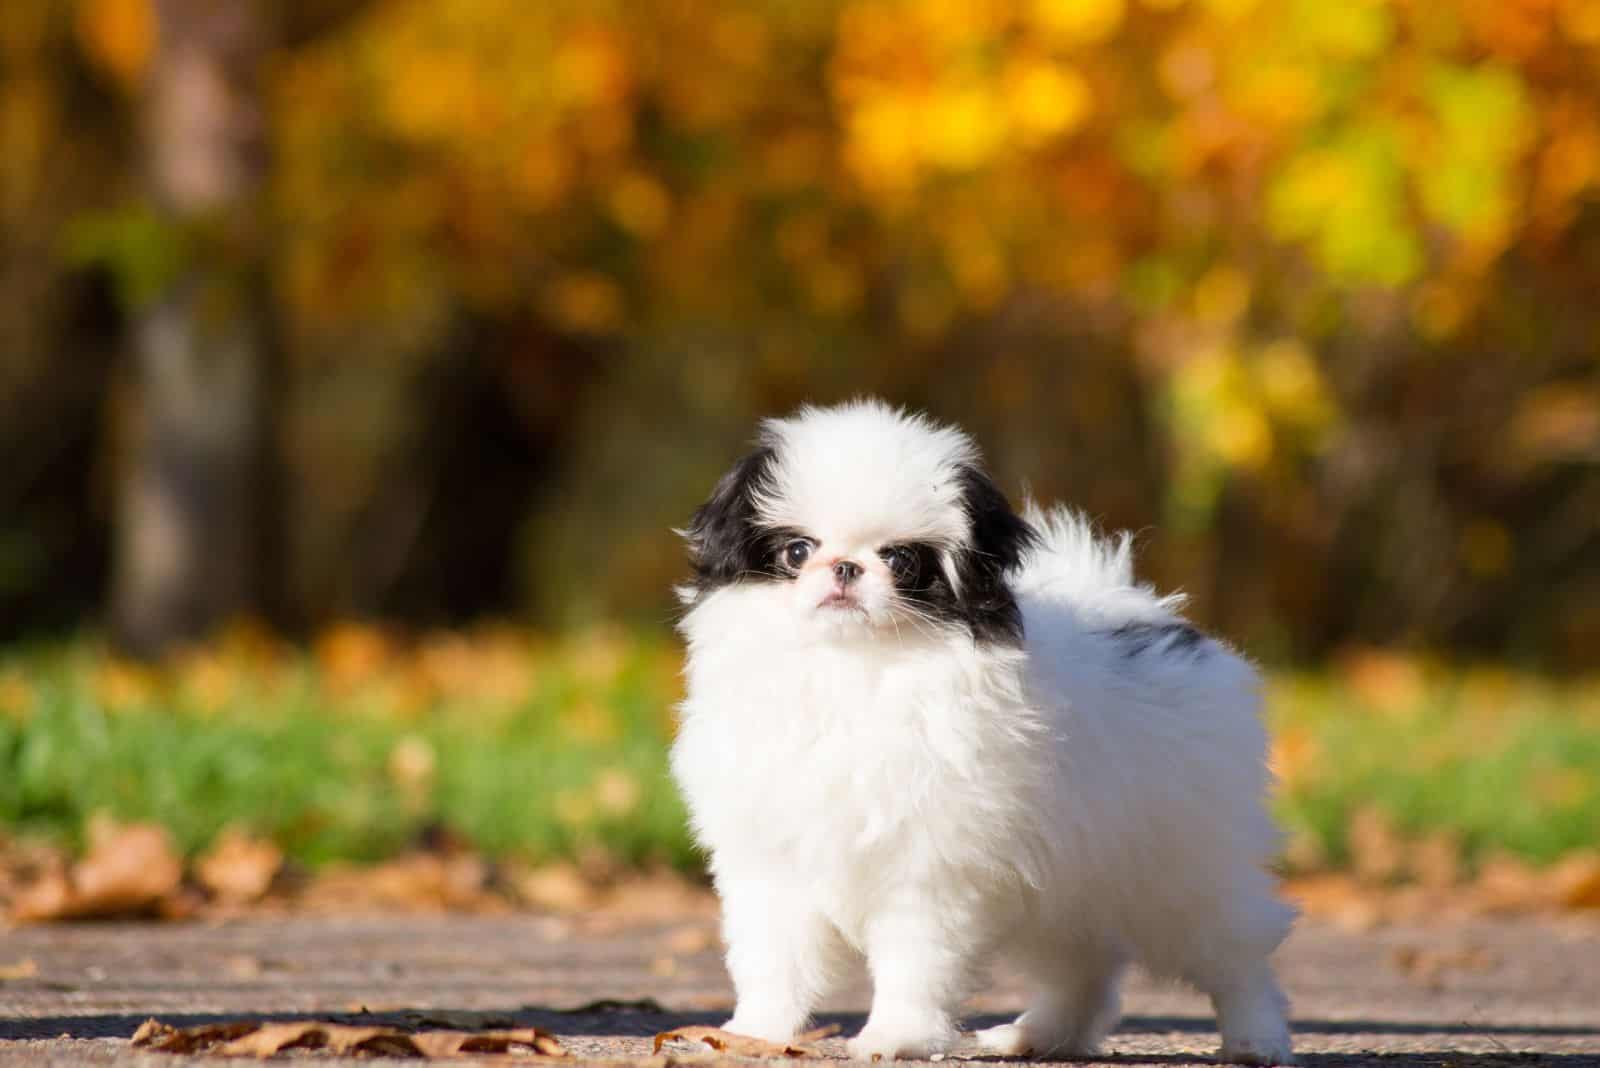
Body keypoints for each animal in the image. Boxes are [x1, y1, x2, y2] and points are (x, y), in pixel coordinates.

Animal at [668, 398, 1292, 1061]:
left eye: (900, 560)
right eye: (795, 551)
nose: (845, 567)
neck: (856, 668)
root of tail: (1153, 619)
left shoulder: (928, 867)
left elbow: (914, 964)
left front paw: (896, 1035)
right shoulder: (772, 861)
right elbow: (774, 961)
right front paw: (753, 1032)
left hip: (1181, 868)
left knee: (1236, 957)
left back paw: (1255, 1039)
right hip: (1060, 881)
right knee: (1084, 968)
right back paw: (1038, 1036)